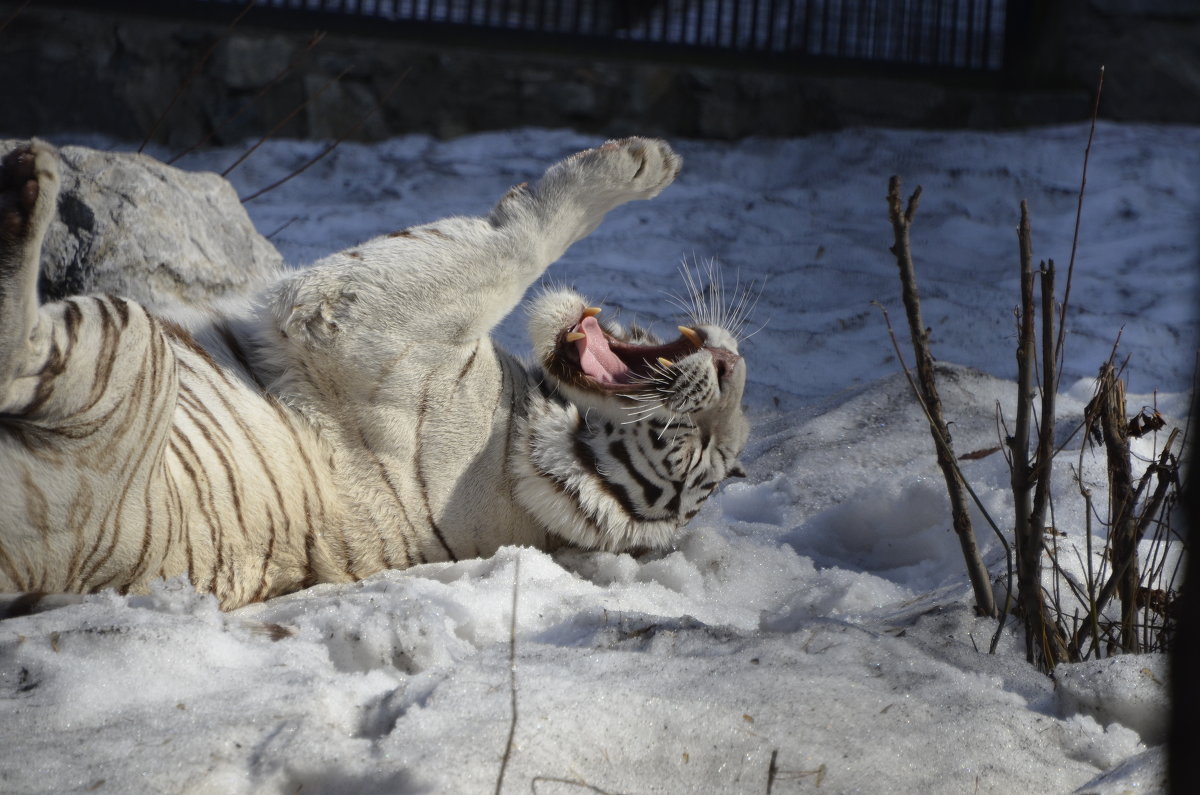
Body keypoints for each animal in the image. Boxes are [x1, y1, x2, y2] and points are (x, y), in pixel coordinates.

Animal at [0, 136, 744, 610]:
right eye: (712, 441)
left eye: (687, 447)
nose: (732, 368)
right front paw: (657, 160)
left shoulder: (353, 315)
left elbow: (518, 239)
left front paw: (642, 161)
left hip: (126, 339)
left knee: (18, 345)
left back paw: (29, 188)